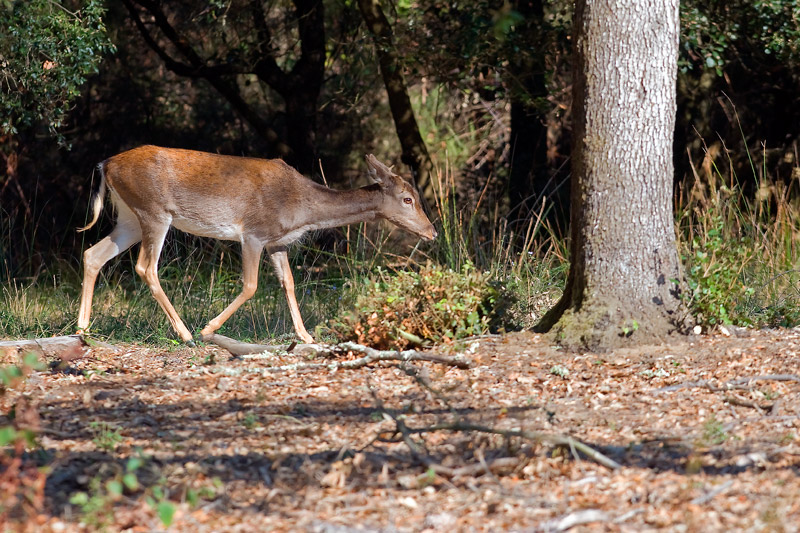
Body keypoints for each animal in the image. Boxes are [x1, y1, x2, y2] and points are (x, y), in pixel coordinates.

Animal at [76, 145, 438, 344]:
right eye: (407, 199)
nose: (433, 233)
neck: (301, 209)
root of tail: (106, 164)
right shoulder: (253, 233)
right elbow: (251, 285)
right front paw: (209, 328)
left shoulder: (279, 242)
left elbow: (288, 283)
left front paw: (306, 336)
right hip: (153, 211)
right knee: (145, 267)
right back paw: (186, 333)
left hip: (129, 217)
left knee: (93, 254)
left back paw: (82, 329)